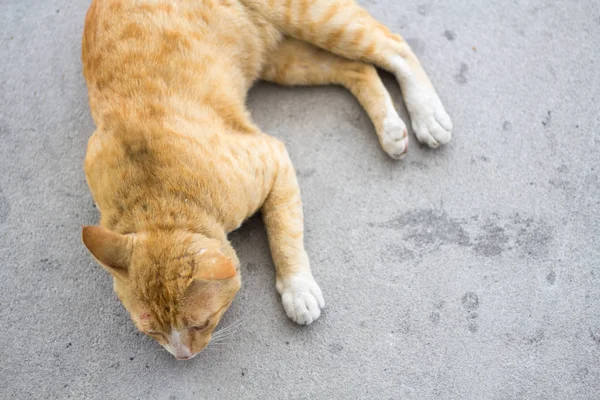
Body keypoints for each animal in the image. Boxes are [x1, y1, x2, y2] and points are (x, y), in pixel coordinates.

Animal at [82, 0, 452, 360]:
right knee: (357, 67)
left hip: (315, 18)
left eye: (202, 324)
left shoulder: (274, 158)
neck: (155, 200)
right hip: (285, 62)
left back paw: (427, 114)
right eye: (153, 333)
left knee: (394, 46)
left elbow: (284, 235)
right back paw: (390, 128)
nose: (183, 356)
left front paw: (297, 288)